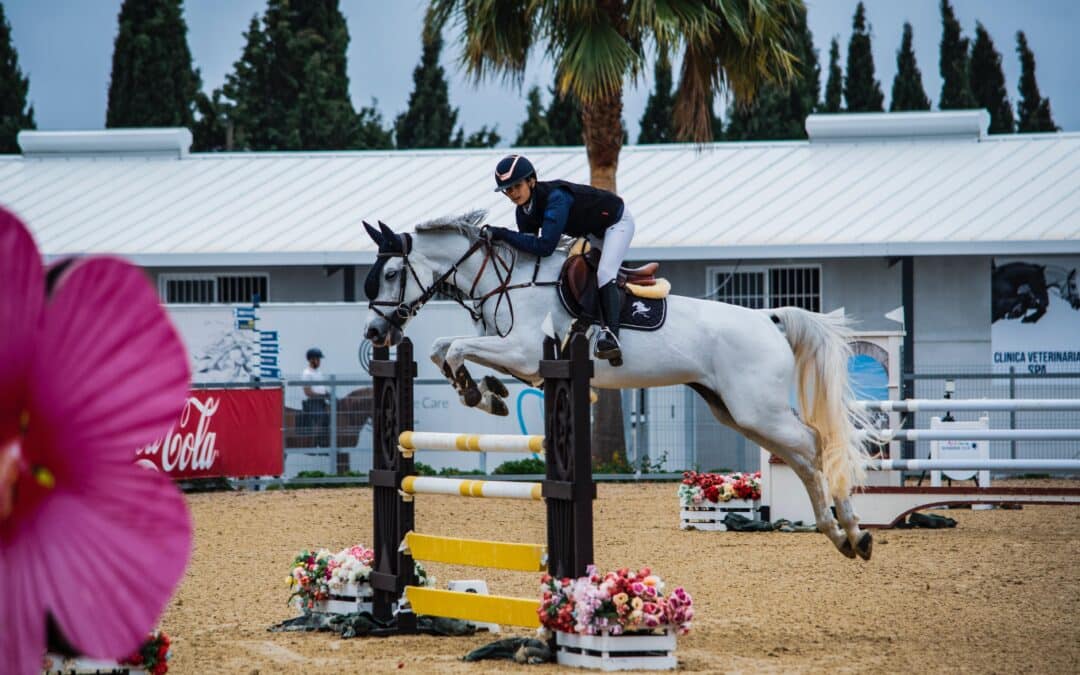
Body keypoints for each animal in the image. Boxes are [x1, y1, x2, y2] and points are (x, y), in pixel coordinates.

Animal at [362, 211, 876, 557]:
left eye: (391, 273)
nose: (375, 333)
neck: (506, 282)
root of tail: (768, 319)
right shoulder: (511, 351)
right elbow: (444, 348)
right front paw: (489, 393)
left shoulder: (525, 351)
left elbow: (454, 350)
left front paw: (477, 392)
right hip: (737, 412)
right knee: (803, 458)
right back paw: (840, 536)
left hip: (756, 408)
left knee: (815, 444)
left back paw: (854, 530)